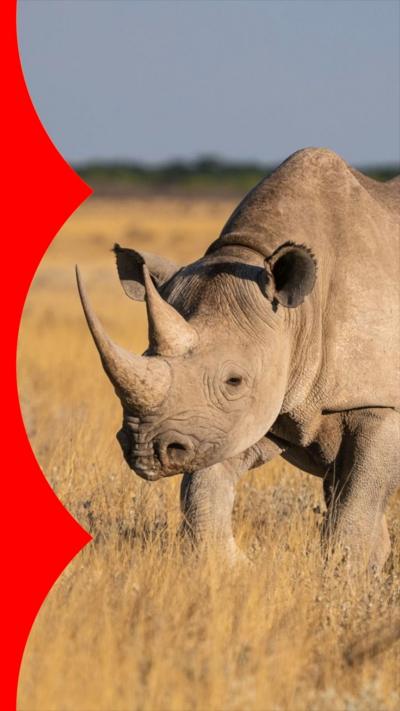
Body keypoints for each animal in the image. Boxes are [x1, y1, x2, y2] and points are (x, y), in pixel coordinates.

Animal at [77, 148, 400, 571]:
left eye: (234, 380)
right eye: (147, 354)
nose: (145, 451)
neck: (299, 313)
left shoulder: (378, 402)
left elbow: (357, 505)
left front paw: (343, 577)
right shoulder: (236, 414)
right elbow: (204, 486)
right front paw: (233, 567)